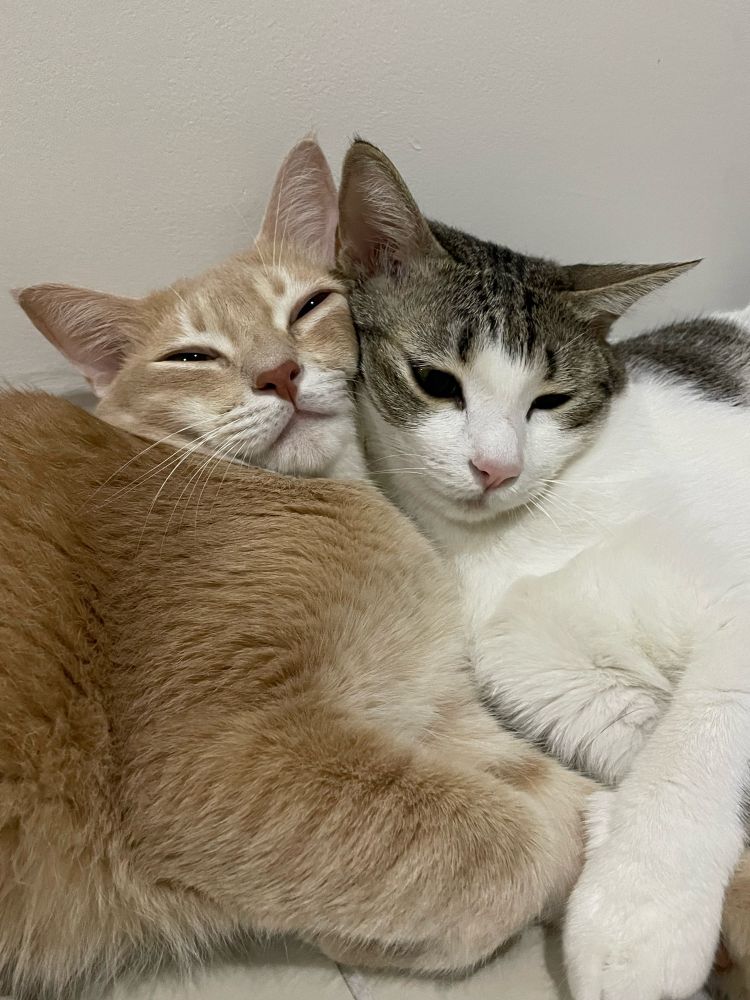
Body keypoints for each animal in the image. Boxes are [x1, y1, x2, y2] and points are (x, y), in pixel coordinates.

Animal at [3, 138, 592, 999]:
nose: (278, 372)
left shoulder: (433, 706)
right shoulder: (220, 755)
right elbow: (501, 839)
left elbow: (565, 802)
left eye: (308, 306)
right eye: (192, 355)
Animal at [336, 138, 750, 1000]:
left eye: (551, 401)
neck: (515, 543)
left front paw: (641, 914)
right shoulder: (568, 691)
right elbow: (646, 745)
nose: (496, 468)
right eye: (436, 382)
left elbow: (693, 744)